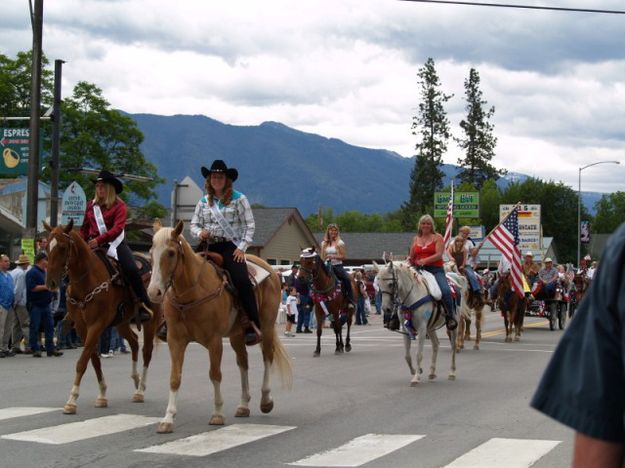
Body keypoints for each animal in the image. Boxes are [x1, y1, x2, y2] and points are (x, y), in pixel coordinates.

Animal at [44, 219, 160, 414]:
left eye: (62, 247)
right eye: (46, 247)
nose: (50, 283)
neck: (86, 282)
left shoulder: (96, 325)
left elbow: (82, 361)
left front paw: (72, 400)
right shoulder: (82, 327)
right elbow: (94, 359)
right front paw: (102, 395)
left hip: (151, 320)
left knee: (147, 351)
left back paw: (140, 390)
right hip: (122, 323)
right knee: (134, 342)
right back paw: (135, 379)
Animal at [146, 221, 292, 434]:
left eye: (171, 253)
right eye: (151, 252)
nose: (153, 292)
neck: (191, 294)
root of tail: (270, 268)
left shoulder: (214, 341)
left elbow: (215, 374)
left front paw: (217, 413)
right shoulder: (175, 341)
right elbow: (175, 377)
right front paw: (168, 419)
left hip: (265, 327)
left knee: (267, 358)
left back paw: (265, 401)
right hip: (237, 335)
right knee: (243, 362)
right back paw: (243, 405)